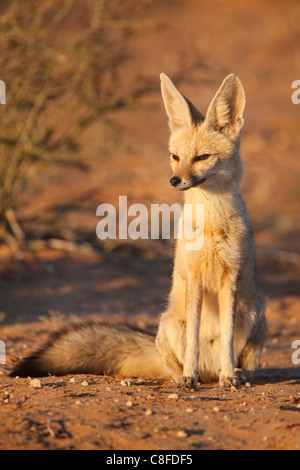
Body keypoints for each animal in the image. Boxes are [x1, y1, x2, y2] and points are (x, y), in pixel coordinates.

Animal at [9, 73, 268, 390]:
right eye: (175, 156)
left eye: (201, 157)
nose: (174, 180)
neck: (210, 223)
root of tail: (209, 371)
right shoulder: (192, 277)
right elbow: (193, 341)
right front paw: (188, 376)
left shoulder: (229, 278)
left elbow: (228, 339)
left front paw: (229, 375)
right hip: (168, 323)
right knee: (177, 364)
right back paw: (188, 375)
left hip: (255, 312)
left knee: (247, 363)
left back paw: (236, 373)